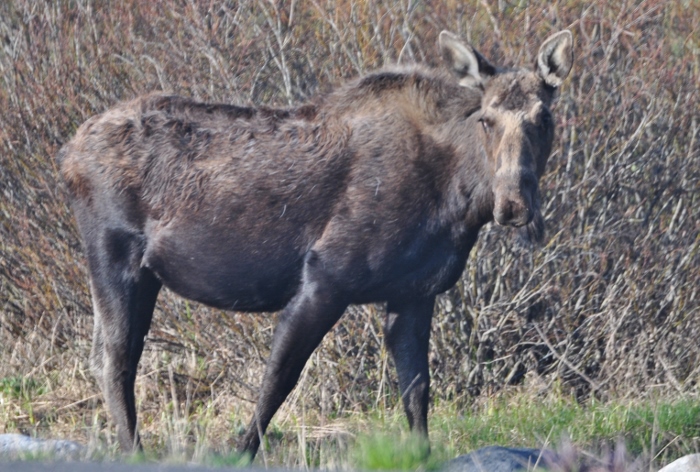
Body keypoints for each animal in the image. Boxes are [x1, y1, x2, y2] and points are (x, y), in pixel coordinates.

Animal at [58, 30, 576, 458]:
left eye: (544, 117)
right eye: (486, 119)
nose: (513, 204)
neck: (459, 200)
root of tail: (68, 152)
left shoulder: (414, 292)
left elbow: (417, 389)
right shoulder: (325, 278)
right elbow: (277, 381)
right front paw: (240, 453)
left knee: (105, 358)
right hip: (115, 257)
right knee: (116, 362)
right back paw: (134, 451)